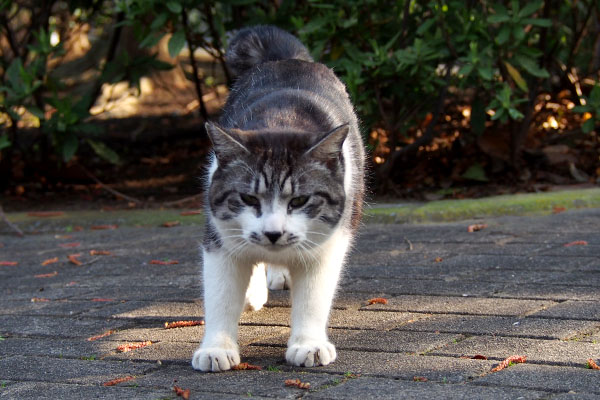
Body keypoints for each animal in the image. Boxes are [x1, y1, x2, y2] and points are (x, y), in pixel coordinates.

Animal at [192, 25, 366, 372]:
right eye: (248, 198)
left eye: (299, 201)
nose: (273, 233)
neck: (283, 120)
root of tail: (286, 58)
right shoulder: (219, 238)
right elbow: (220, 295)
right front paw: (216, 347)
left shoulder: (329, 241)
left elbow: (313, 297)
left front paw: (309, 344)